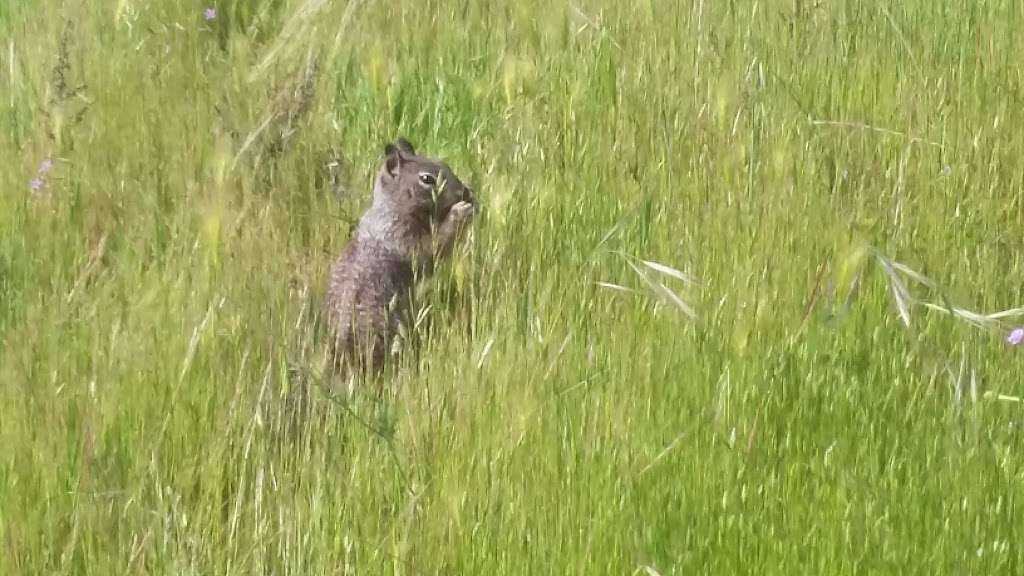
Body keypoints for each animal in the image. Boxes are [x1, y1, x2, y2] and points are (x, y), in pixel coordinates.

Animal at [323, 137, 475, 375]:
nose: (465, 193)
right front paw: (460, 212)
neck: (392, 207)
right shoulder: (401, 237)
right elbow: (429, 252)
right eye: (427, 179)